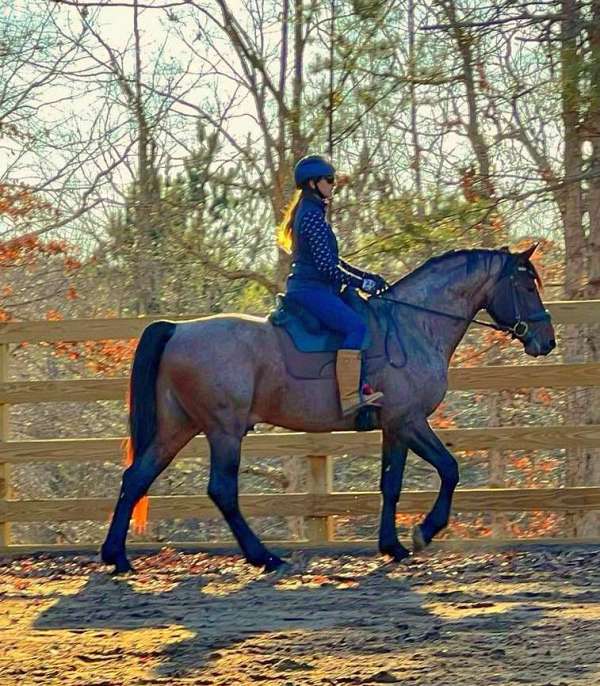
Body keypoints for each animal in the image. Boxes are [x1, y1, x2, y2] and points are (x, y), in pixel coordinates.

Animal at [101, 245, 555, 574]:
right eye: (527, 286)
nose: (546, 340)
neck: (414, 325)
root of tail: (177, 329)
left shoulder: (394, 427)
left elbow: (391, 484)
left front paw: (392, 546)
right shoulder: (409, 420)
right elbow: (449, 469)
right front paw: (423, 533)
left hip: (178, 427)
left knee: (136, 477)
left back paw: (117, 557)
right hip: (223, 429)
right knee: (221, 490)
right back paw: (264, 557)